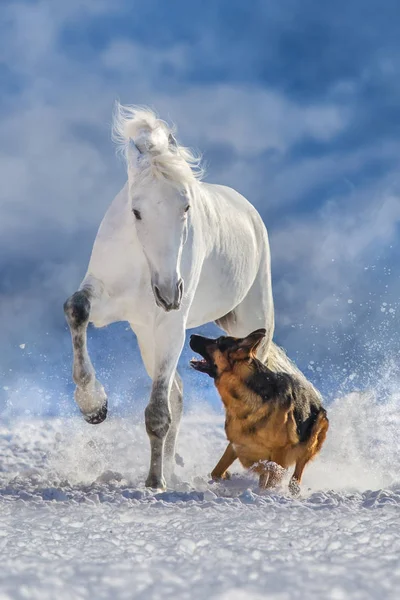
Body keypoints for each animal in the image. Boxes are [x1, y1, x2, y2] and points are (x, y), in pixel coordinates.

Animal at [64, 102, 296, 488]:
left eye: (186, 207)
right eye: (136, 211)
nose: (169, 291)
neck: (145, 265)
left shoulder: (171, 325)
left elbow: (158, 412)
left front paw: (154, 484)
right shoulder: (108, 300)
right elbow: (76, 309)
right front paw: (93, 407)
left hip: (251, 320)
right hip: (146, 334)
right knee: (178, 392)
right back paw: (171, 469)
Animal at [190, 330, 328, 494]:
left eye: (218, 341)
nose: (191, 336)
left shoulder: (280, 452)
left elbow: (272, 481)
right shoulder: (237, 444)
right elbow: (216, 472)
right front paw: (226, 477)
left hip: (313, 435)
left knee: (297, 473)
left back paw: (292, 489)